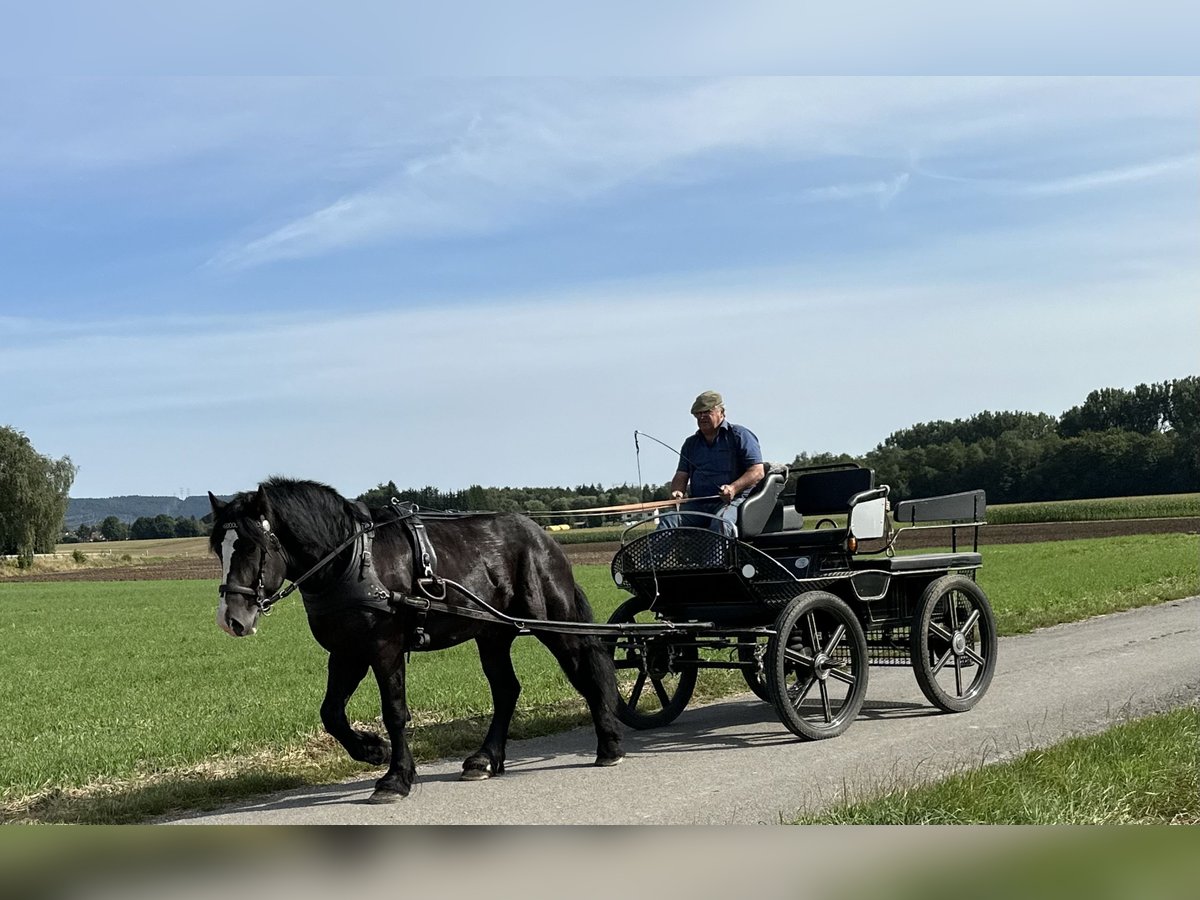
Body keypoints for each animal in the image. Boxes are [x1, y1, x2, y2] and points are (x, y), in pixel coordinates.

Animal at [205, 475, 624, 806]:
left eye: (253, 546)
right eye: (219, 547)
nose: (231, 619)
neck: (350, 559)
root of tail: (542, 537)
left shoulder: (384, 648)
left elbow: (394, 712)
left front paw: (395, 778)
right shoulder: (347, 652)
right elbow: (331, 713)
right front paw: (371, 749)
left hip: (552, 621)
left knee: (585, 669)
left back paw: (609, 744)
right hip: (492, 633)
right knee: (506, 689)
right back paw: (485, 759)